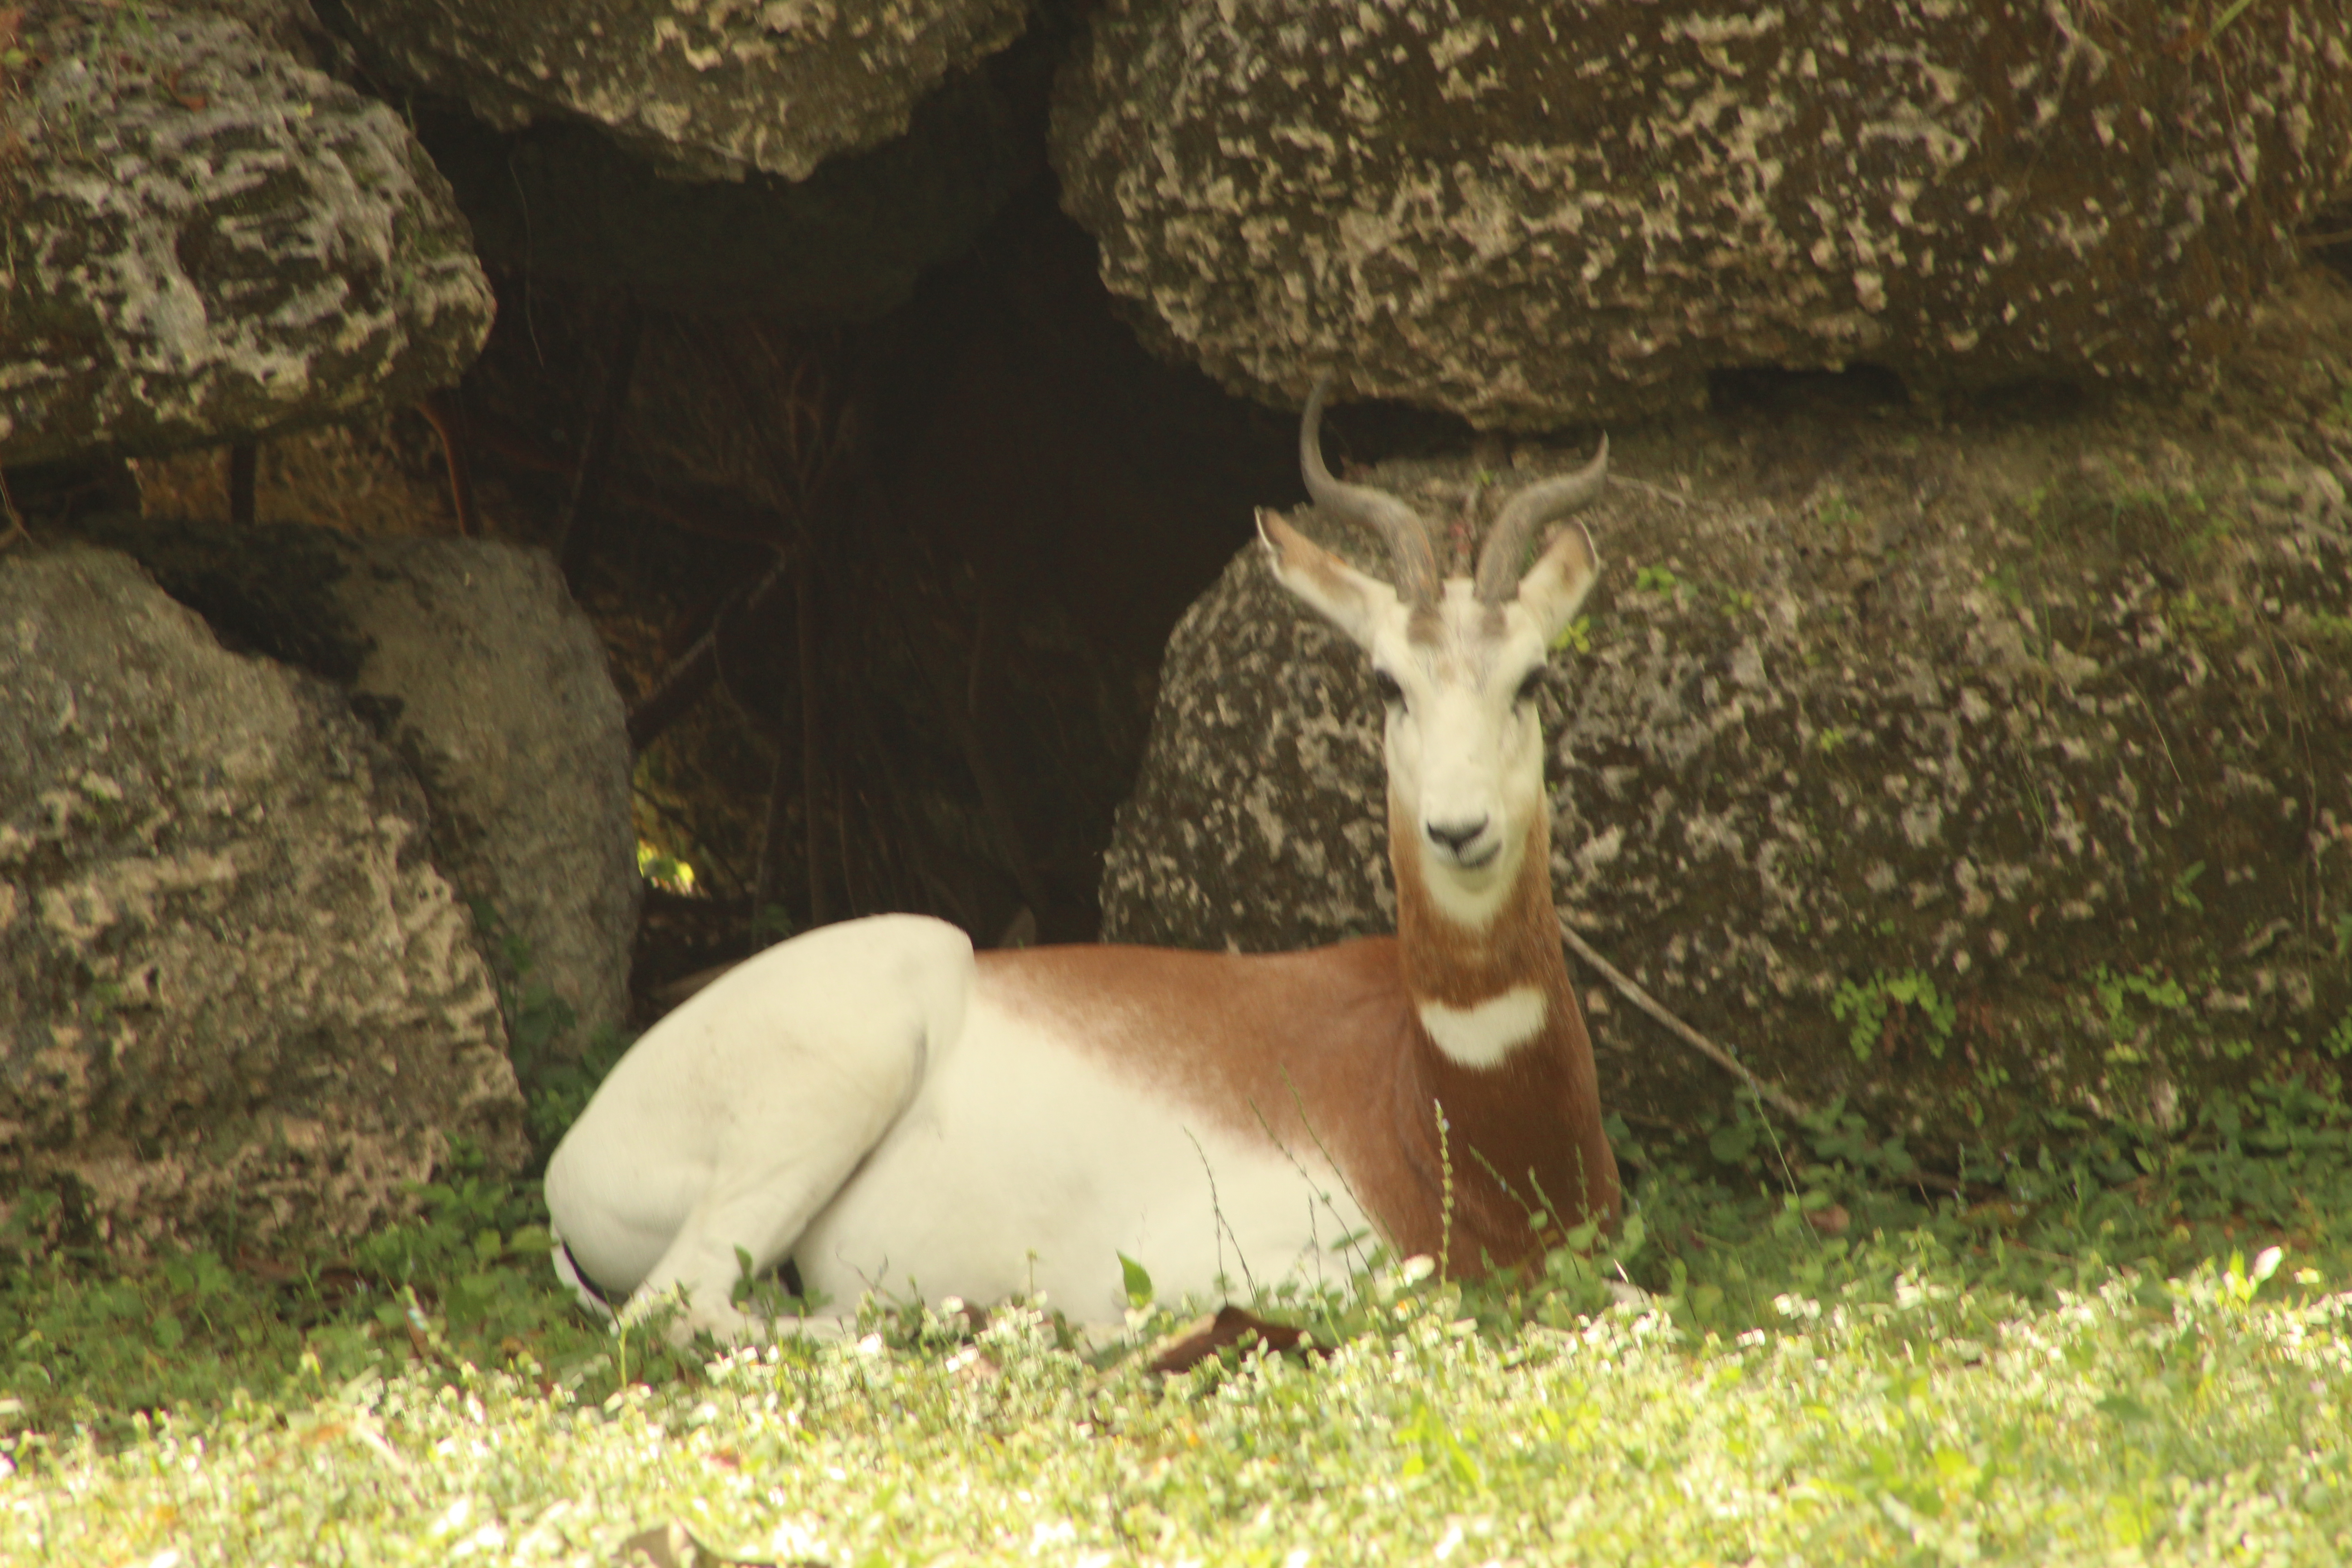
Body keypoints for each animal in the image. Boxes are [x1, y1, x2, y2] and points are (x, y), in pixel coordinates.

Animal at [544, 376, 1619, 1341]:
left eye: (1533, 676)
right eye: (1387, 681)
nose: (1458, 829)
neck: (1435, 1117)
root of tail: (568, 1164)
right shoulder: (1202, 1263)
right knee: (675, 1309)